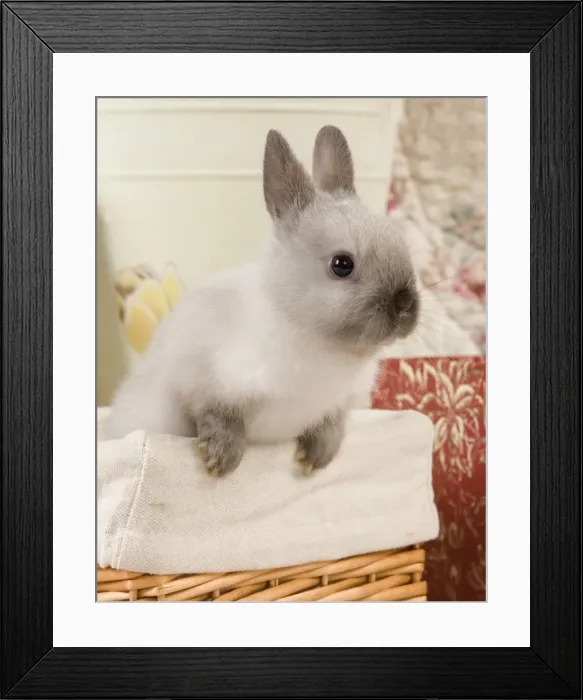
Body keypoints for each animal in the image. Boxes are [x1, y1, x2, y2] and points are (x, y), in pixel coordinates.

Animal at [102, 125, 420, 477]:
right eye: (341, 264)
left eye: (402, 246)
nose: (405, 305)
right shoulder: (199, 382)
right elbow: (218, 416)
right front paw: (219, 461)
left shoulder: (339, 404)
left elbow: (333, 425)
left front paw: (314, 460)